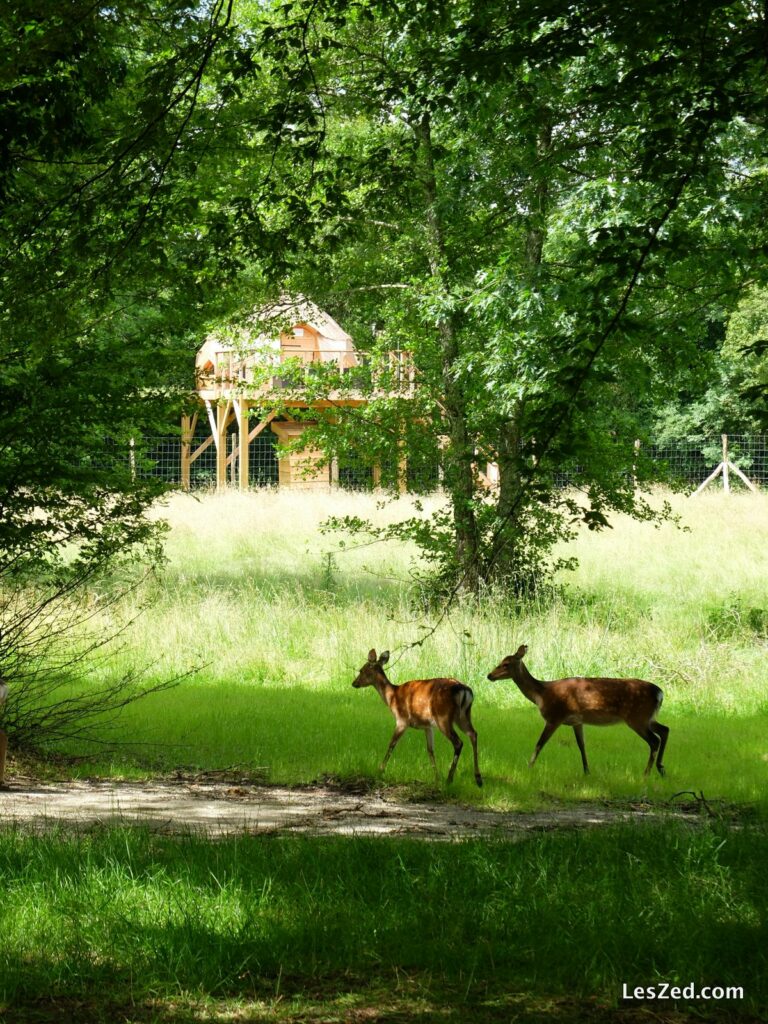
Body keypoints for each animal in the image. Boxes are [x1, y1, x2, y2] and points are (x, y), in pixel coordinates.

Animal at [354, 651, 481, 786]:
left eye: (361, 670)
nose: (354, 683)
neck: (392, 697)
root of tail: (464, 690)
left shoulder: (402, 720)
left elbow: (391, 744)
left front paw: (380, 770)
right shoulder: (427, 726)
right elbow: (430, 750)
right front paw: (437, 778)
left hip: (443, 717)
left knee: (458, 742)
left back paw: (450, 779)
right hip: (463, 715)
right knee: (473, 734)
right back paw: (478, 778)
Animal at [489, 643, 671, 778]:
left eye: (505, 664)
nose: (489, 675)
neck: (541, 694)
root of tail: (660, 693)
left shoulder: (555, 717)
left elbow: (540, 743)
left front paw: (529, 766)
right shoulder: (577, 721)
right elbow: (581, 745)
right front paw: (587, 771)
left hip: (637, 717)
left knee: (654, 740)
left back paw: (646, 773)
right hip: (648, 717)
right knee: (665, 730)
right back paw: (661, 768)